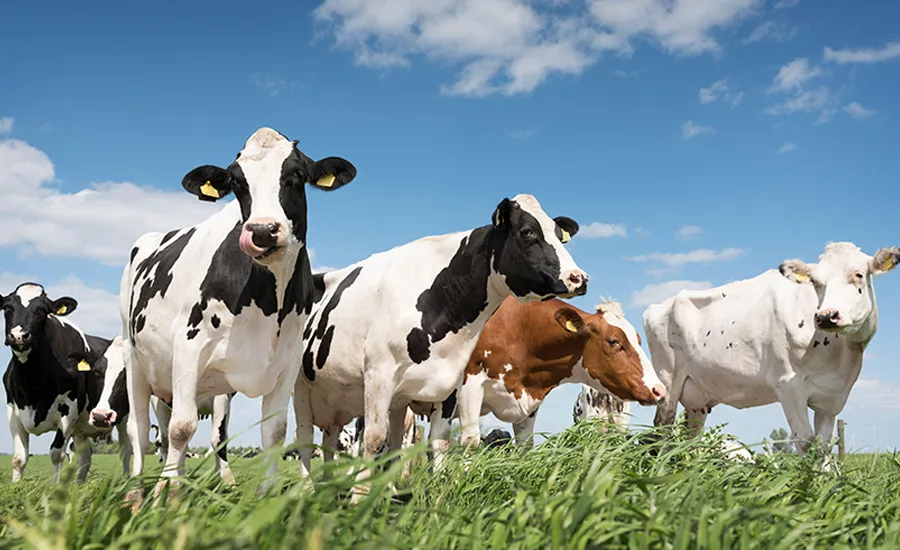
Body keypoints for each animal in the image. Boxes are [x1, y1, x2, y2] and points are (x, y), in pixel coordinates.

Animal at [2, 282, 130, 483]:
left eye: (42, 310)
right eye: (7, 308)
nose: (19, 335)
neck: (32, 382)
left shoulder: (69, 412)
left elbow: (56, 453)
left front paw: (54, 487)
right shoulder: (13, 410)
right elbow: (19, 458)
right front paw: (15, 486)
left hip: (123, 417)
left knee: (125, 451)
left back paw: (126, 482)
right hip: (83, 428)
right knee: (85, 456)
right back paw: (79, 484)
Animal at [118, 127, 356, 498]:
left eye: (296, 175)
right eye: (236, 182)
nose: (261, 230)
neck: (269, 303)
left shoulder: (287, 361)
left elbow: (274, 431)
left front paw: (267, 494)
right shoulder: (188, 345)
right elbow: (181, 428)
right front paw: (164, 495)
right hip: (135, 360)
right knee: (140, 429)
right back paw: (138, 491)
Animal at [293, 193, 588, 500]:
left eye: (560, 236)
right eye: (528, 232)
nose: (579, 278)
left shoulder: (449, 383)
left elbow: (438, 442)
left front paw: (435, 496)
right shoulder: (378, 373)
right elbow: (374, 439)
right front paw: (358, 499)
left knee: (343, 440)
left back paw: (335, 489)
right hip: (300, 385)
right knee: (304, 439)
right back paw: (306, 490)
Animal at [419, 298, 665, 455]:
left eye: (639, 340)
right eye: (614, 341)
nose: (659, 389)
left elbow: (525, 447)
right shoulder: (470, 385)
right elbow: (470, 442)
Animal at [644, 242, 899, 461]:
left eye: (858, 274)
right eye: (815, 281)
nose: (826, 316)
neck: (841, 355)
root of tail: (658, 306)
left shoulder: (833, 396)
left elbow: (824, 447)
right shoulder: (789, 385)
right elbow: (806, 442)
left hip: (697, 396)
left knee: (692, 437)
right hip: (667, 381)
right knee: (662, 429)